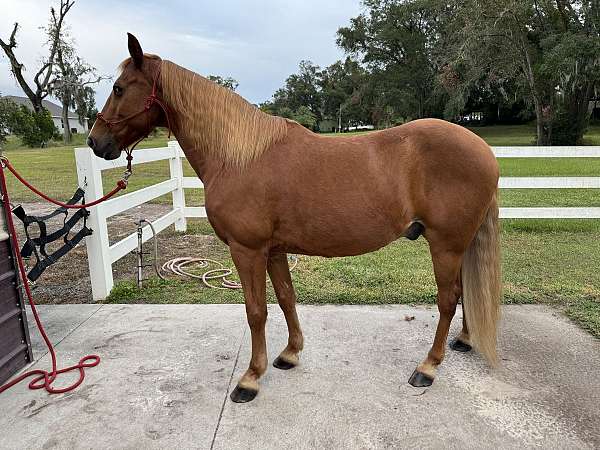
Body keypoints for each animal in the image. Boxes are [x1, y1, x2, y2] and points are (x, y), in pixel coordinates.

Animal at [90, 33, 502, 402]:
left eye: (120, 88)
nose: (95, 142)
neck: (239, 157)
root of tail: (484, 150)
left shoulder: (247, 250)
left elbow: (256, 311)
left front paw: (250, 378)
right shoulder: (273, 250)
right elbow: (286, 298)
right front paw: (290, 353)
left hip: (445, 245)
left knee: (448, 299)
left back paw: (427, 367)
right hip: (457, 246)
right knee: (463, 292)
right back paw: (463, 341)